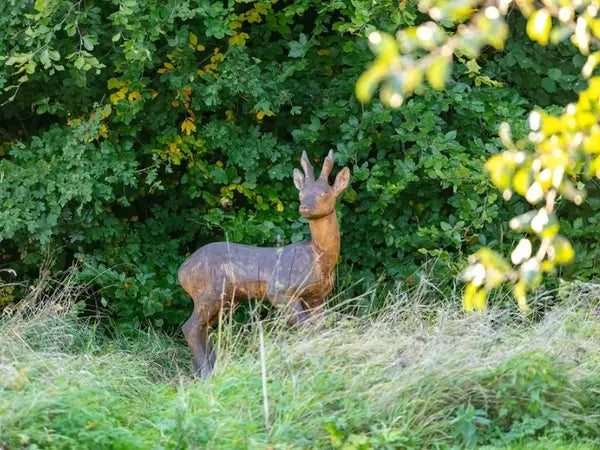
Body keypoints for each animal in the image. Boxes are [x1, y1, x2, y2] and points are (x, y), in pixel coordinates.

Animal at [176, 150, 350, 376]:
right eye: (301, 194)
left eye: (323, 194)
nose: (304, 207)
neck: (317, 258)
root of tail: (181, 271)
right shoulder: (279, 290)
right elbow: (304, 327)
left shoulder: (317, 297)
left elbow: (319, 329)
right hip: (208, 292)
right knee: (190, 327)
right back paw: (207, 373)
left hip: (228, 299)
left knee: (203, 328)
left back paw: (209, 368)